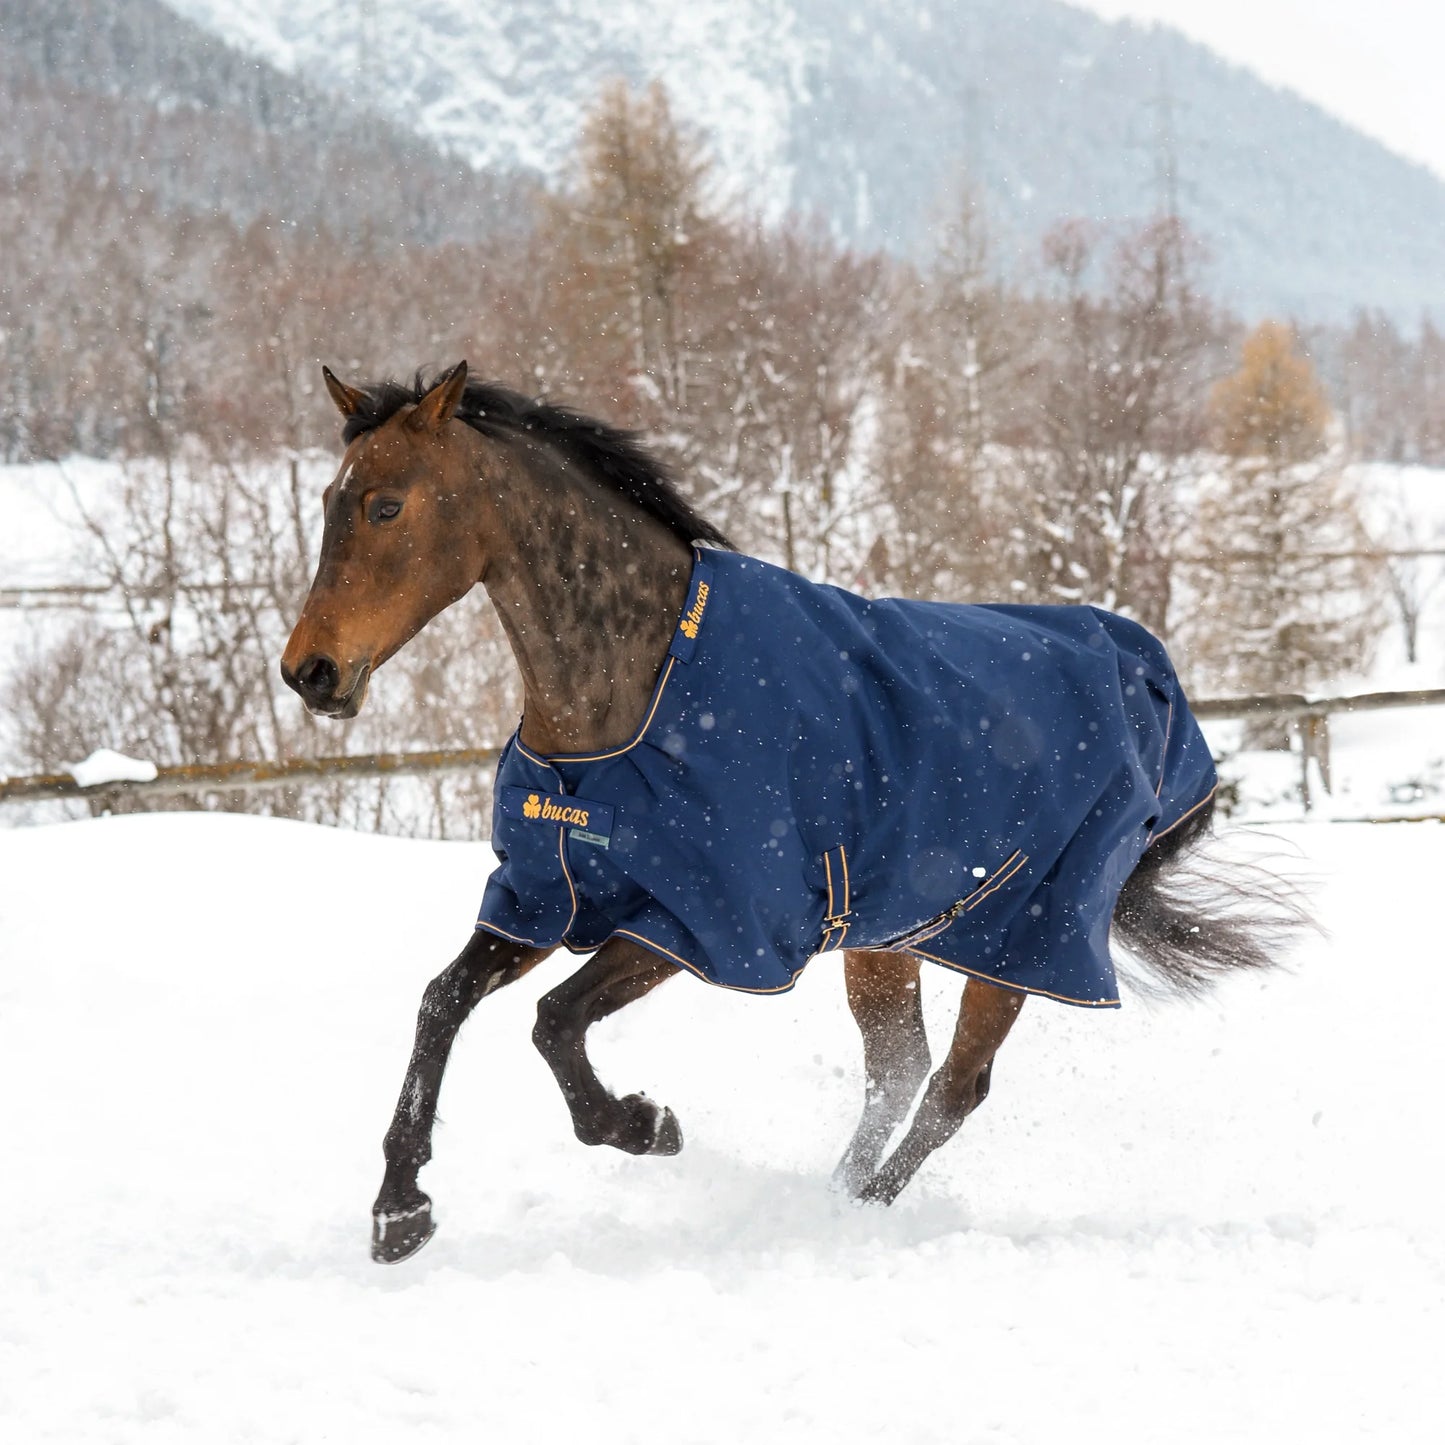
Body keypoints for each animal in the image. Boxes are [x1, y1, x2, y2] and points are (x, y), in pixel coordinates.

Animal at [281, 360, 1300, 1264]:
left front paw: (644, 1124)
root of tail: (1153, 684)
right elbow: (441, 1002)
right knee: (897, 1073)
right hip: (886, 938)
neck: (632, 696)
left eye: (386, 506)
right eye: (331, 499)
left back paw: (854, 1214)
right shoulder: (546, 894)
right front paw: (398, 1211)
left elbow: (553, 1021)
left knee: (953, 1088)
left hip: (1019, 940)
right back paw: (833, 1197)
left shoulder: (703, 921)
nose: (310, 672)